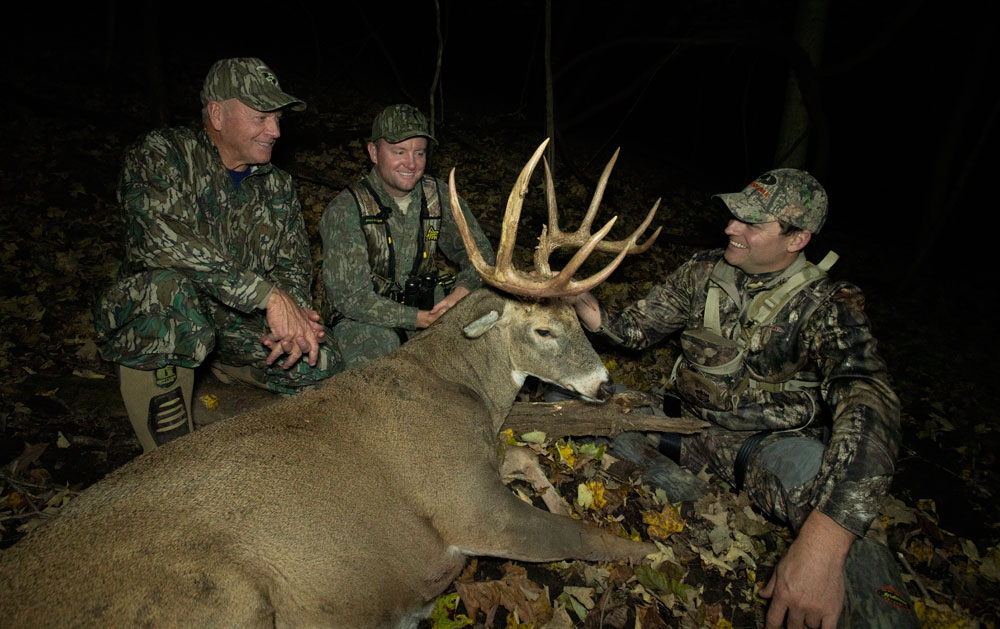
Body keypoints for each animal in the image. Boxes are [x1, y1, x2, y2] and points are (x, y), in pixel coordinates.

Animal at [0, 139, 660, 628]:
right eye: (544, 329)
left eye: (578, 318)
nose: (605, 387)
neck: (465, 388)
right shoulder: (465, 504)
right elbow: (581, 534)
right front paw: (650, 552)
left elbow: (527, 456)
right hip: (216, 595)